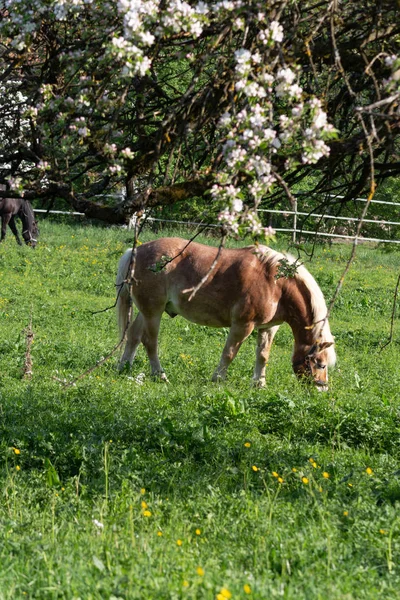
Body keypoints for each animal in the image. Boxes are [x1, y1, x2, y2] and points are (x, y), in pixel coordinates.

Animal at [116, 237, 338, 392]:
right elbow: (229, 353)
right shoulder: (242, 325)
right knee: (149, 341)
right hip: (153, 312)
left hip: (148, 311)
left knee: (133, 335)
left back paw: (124, 368)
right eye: (321, 364)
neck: (276, 283)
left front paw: (260, 384)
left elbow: (263, 356)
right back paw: (160, 375)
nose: (322, 389)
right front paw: (218, 380)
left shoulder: (268, 328)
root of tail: (135, 252)